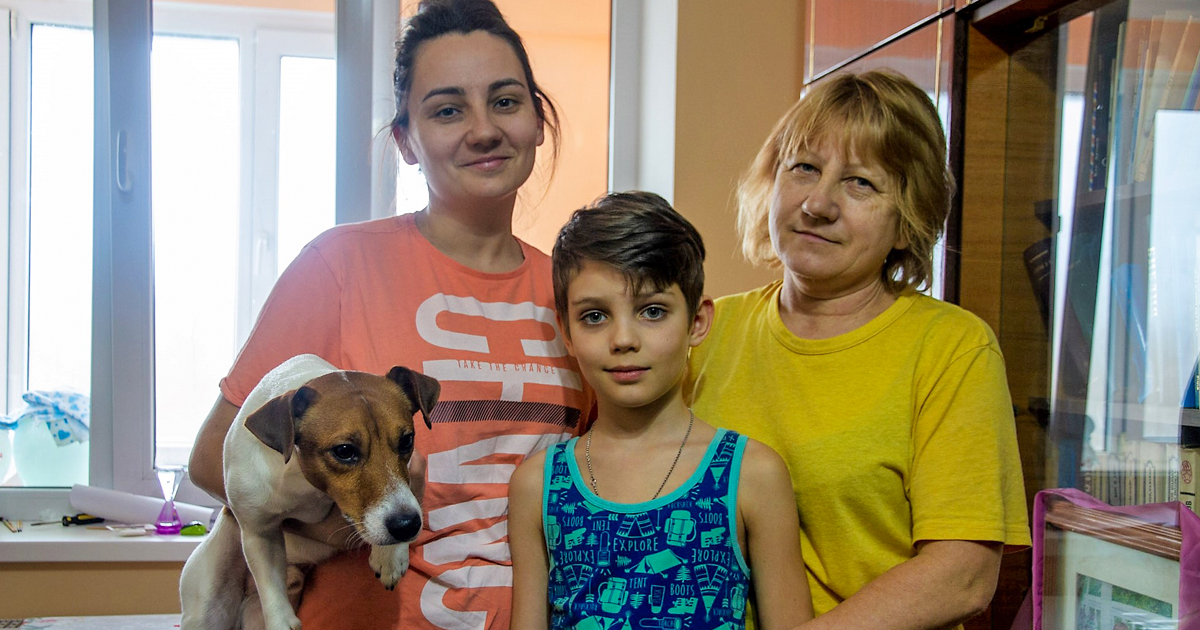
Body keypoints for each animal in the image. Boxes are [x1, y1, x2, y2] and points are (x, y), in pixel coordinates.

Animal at [177, 352, 441, 628]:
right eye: (344, 451)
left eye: (406, 440)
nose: (407, 526)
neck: (305, 482)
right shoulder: (259, 533)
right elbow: (271, 590)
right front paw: (281, 621)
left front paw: (389, 555)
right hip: (209, 603)